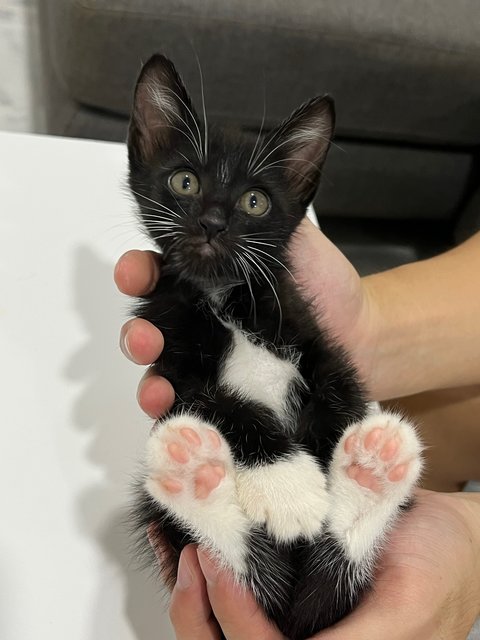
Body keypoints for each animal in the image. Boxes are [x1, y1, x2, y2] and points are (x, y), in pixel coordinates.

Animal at [126, 56, 420, 640]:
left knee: (320, 590)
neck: (224, 297)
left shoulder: (309, 330)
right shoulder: (170, 358)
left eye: (254, 201)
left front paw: (333, 457)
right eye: (185, 181)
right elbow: (220, 402)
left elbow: (339, 386)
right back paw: (194, 473)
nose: (212, 222)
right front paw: (291, 488)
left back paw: (372, 471)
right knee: (258, 574)